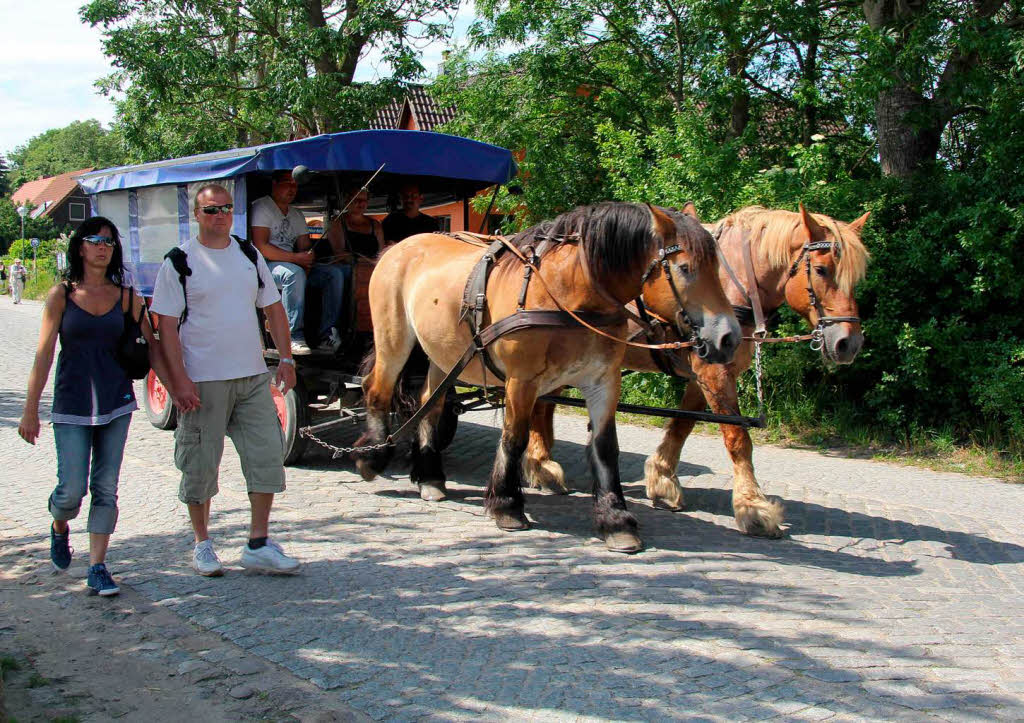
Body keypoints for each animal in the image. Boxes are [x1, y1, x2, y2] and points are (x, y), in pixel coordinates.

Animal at [356, 202, 741, 553]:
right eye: (685, 269)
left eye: (717, 266)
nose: (729, 337)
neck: (568, 291)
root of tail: (400, 247)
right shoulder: (522, 381)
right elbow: (515, 439)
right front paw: (507, 505)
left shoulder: (603, 380)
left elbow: (605, 447)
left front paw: (615, 519)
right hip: (394, 339)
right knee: (377, 390)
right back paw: (371, 457)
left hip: (444, 354)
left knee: (429, 405)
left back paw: (431, 477)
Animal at [524, 201, 868, 536]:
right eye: (821, 270)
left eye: (857, 278)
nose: (848, 343)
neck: (735, 283)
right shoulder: (713, 373)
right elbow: (738, 438)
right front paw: (753, 506)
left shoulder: (706, 373)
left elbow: (683, 424)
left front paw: (663, 478)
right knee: (541, 405)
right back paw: (541, 464)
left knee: (544, 405)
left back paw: (541, 463)